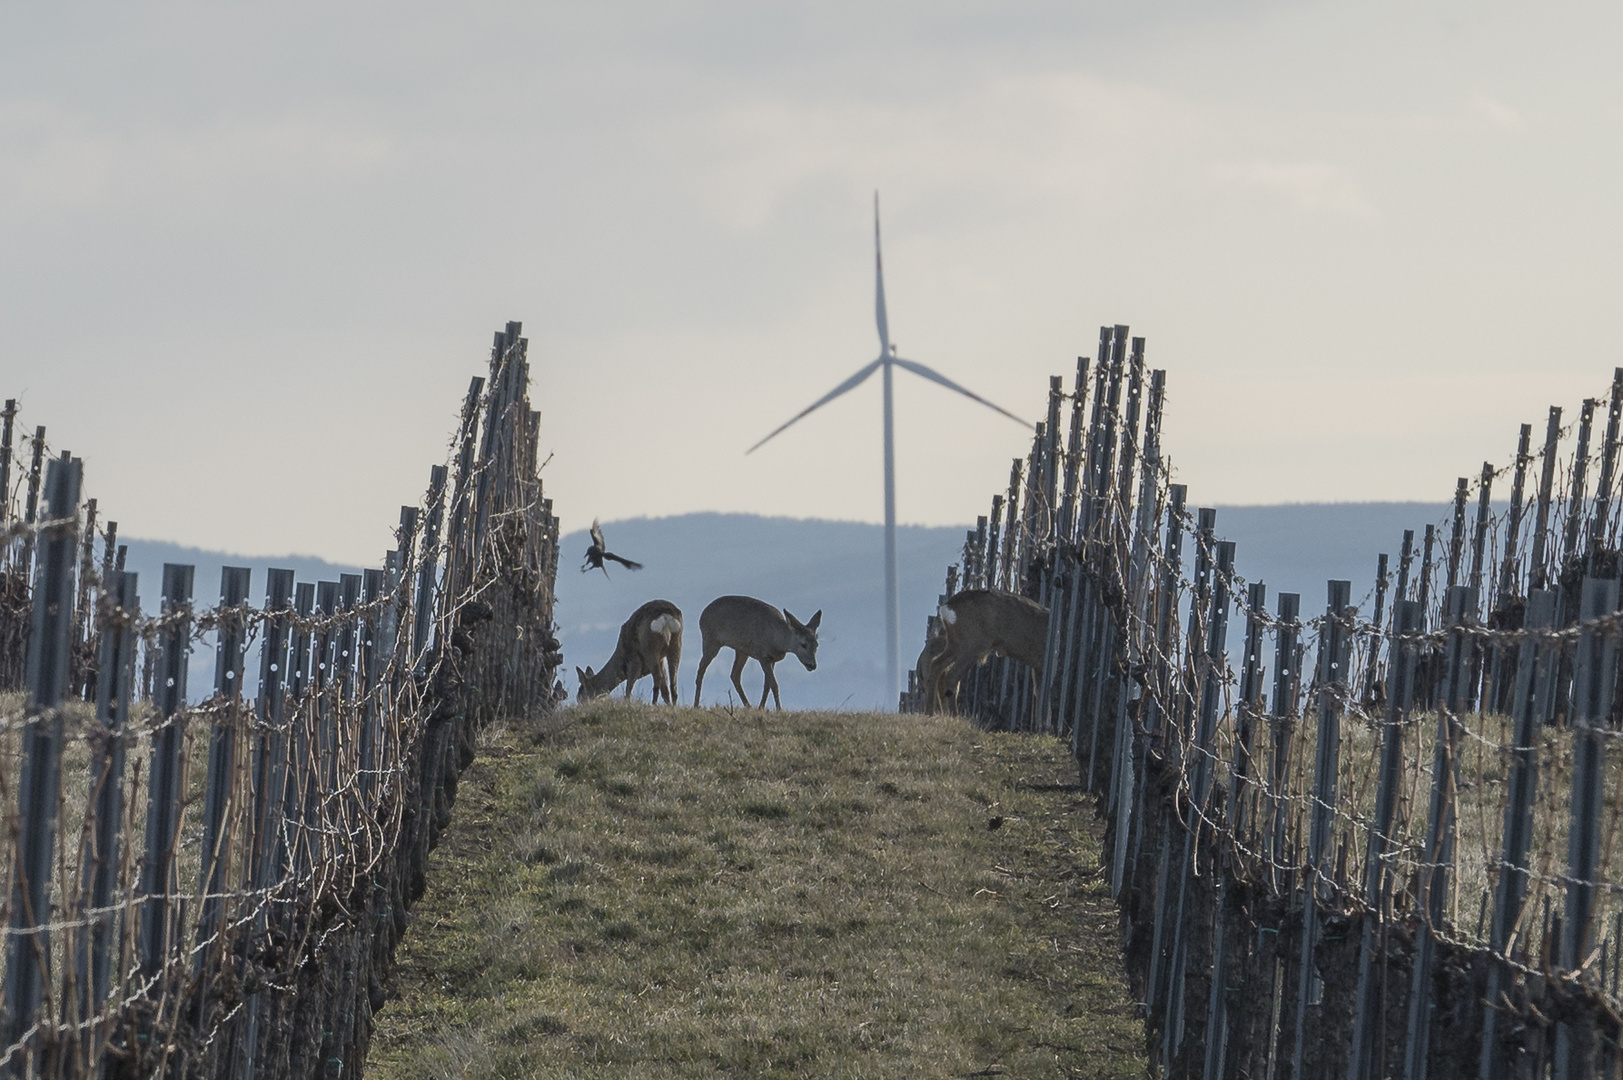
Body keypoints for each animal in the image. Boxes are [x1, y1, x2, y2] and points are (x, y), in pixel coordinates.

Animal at [694, 594, 824, 711]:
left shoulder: (772, 659)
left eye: (817, 645)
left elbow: (767, 685)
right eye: (803, 644)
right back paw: (696, 705)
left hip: (741, 650)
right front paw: (779, 709)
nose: (812, 665)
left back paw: (748, 706)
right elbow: (774, 684)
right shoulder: (763, 656)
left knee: (735, 674)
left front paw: (761, 708)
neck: (776, 638)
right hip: (711, 640)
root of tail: (702, 615)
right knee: (701, 669)